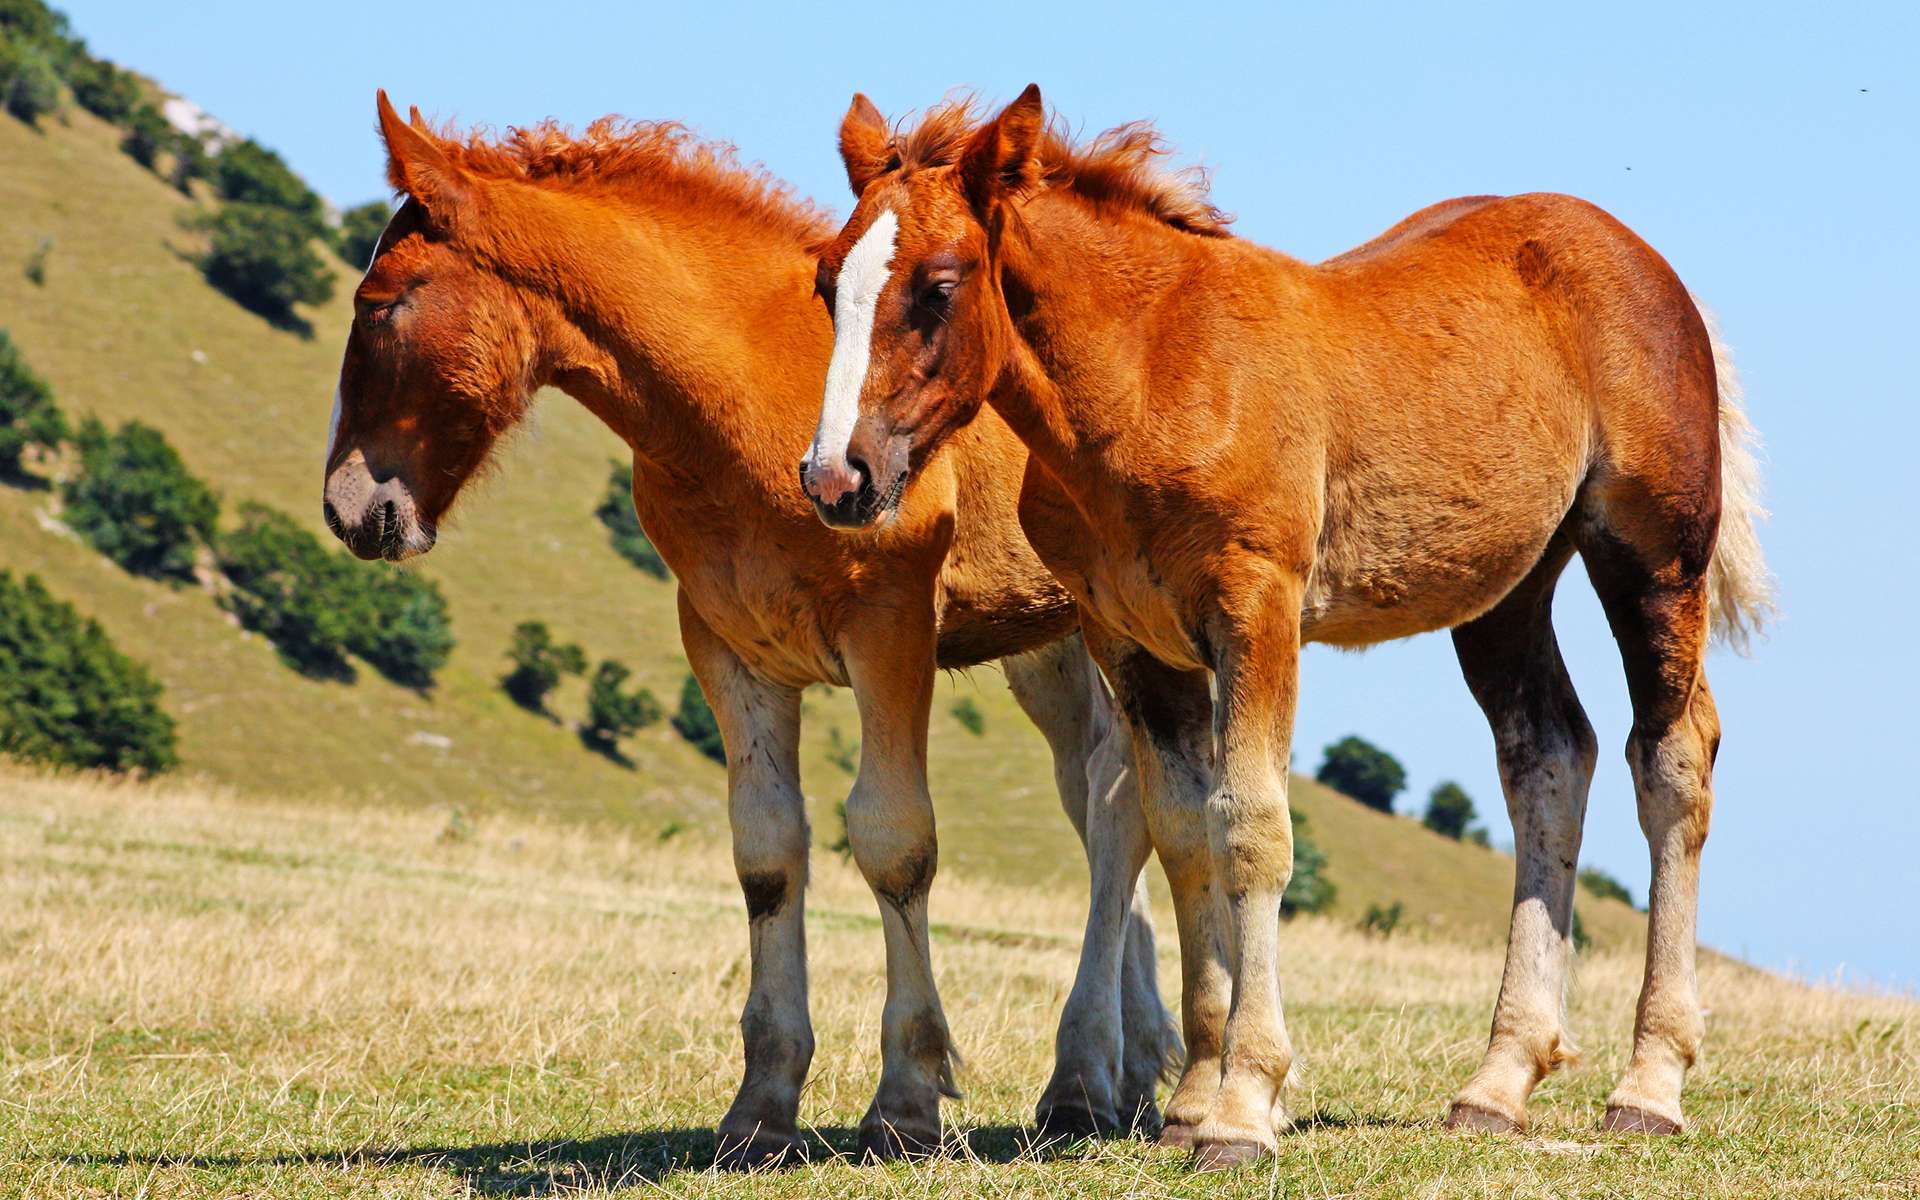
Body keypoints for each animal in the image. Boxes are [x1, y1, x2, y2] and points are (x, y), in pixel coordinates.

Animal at [324, 91, 1182, 1159]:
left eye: (379, 303)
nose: (348, 508)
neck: (742, 403)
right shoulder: (728, 645)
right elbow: (767, 853)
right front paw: (762, 1106)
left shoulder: (891, 627)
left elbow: (894, 839)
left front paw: (905, 1099)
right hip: (1049, 648)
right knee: (1103, 792)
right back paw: (1129, 1073)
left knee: (1121, 805)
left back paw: (1082, 1079)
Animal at [802, 86, 1774, 1167]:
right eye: (827, 282)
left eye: (938, 284)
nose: (836, 476)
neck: (1151, 371)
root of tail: (1647, 261)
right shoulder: (1130, 637)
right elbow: (1183, 832)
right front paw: (1192, 1099)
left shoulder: (1255, 606)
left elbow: (1252, 828)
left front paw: (1242, 1109)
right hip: (1505, 589)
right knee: (1550, 756)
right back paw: (1498, 1083)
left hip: (1652, 555)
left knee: (1673, 757)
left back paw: (1650, 1085)